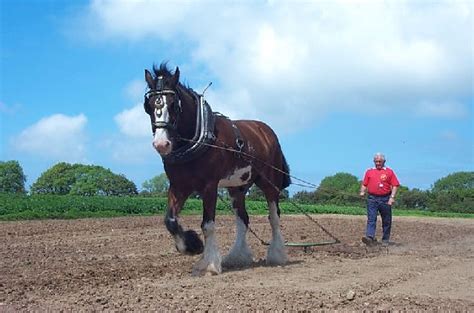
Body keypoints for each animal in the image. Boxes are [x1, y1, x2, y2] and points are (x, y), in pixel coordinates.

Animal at [143, 63, 290, 276]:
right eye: (149, 106)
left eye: (174, 105)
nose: (161, 144)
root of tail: (267, 132)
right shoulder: (179, 186)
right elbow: (170, 220)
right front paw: (192, 246)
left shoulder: (209, 186)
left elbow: (208, 225)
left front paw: (209, 264)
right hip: (237, 188)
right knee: (243, 219)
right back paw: (237, 256)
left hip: (269, 182)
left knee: (274, 217)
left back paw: (277, 255)